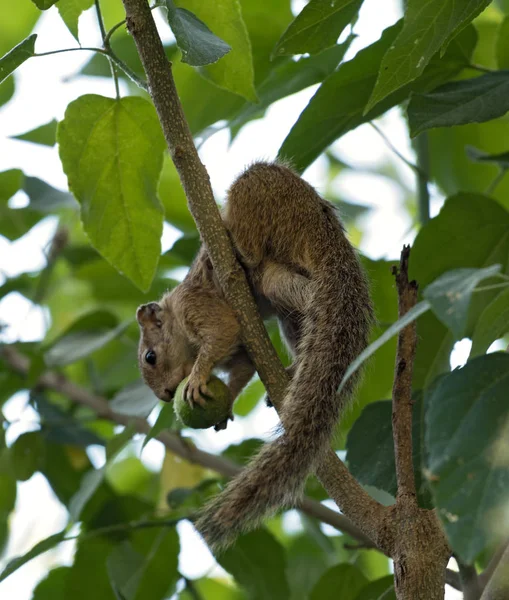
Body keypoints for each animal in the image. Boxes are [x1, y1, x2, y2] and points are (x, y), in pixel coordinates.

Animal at [137, 161, 372, 552]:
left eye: (150, 357)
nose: (166, 395)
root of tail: (326, 232)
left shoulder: (196, 306)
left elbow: (223, 330)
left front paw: (197, 377)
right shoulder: (239, 354)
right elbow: (243, 365)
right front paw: (225, 402)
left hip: (262, 198)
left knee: (264, 256)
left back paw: (235, 247)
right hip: (281, 284)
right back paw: (293, 370)